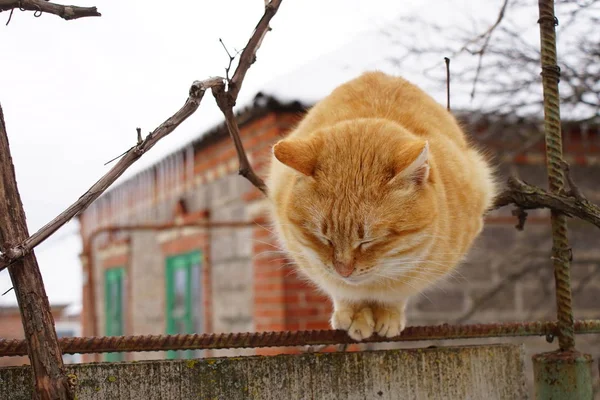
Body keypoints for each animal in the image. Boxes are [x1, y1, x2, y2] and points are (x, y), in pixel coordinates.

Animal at [268, 72, 496, 340]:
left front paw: (389, 314)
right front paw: (354, 313)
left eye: (370, 240)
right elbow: (342, 291)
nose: (343, 271)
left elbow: (395, 294)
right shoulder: (309, 259)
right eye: (324, 239)